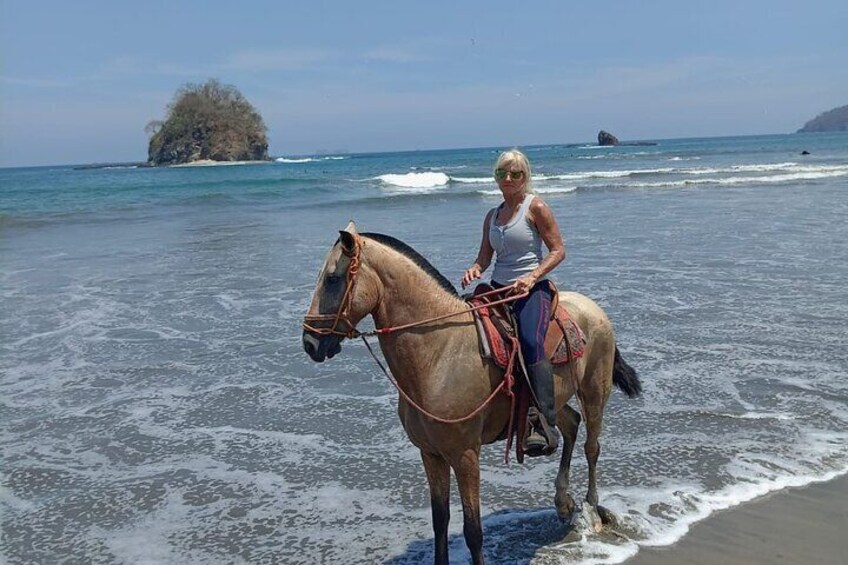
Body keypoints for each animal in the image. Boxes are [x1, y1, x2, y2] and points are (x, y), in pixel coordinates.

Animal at [302, 221, 640, 564]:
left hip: (594, 392)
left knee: (591, 446)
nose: (310, 343)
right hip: (554, 402)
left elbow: (473, 531)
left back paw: (591, 507)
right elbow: (440, 520)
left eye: (332, 279)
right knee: (571, 426)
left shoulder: (465, 455)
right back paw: (562, 501)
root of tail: (592, 308)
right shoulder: (431, 454)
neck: (437, 353)